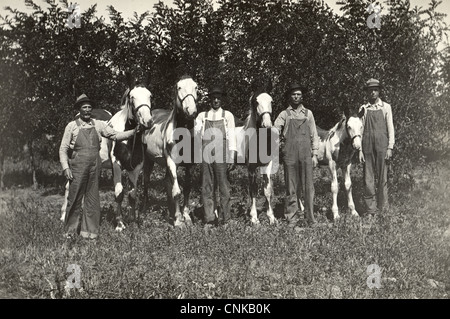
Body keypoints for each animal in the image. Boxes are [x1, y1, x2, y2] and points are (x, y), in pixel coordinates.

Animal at [141, 76, 197, 229]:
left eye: (196, 87)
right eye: (179, 87)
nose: (191, 111)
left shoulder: (190, 165)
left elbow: (187, 188)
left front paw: (185, 216)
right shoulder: (172, 162)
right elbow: (177, 191)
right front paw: (178, 221)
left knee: (167, 182)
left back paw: (171, 210)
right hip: (148, 160)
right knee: (146, 180)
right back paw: (145, 207)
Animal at [234, 79, 276, 225]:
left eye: (271, 101)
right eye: (256, 102)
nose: (267, 125)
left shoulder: (267, 165)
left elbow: (267, 190)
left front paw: (271, 217)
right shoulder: (251, 168)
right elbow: (252, 189)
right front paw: (254, 218)